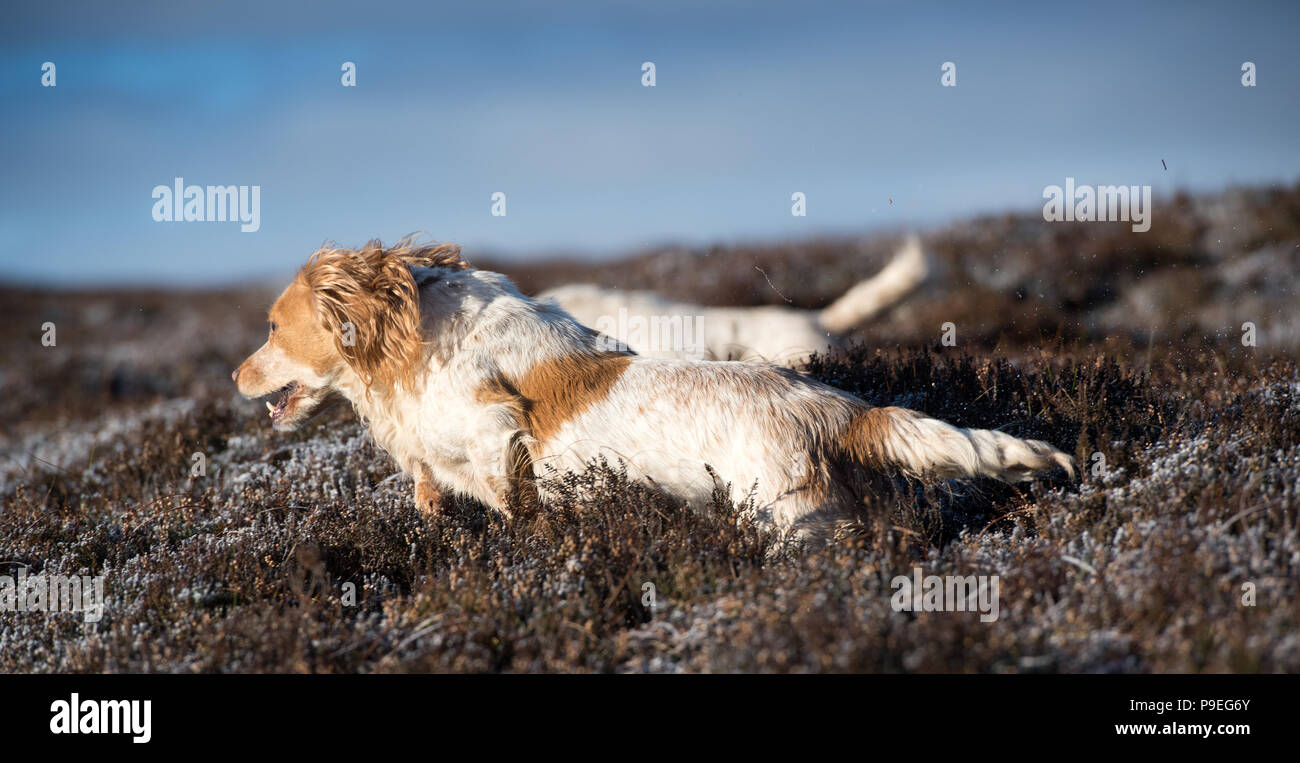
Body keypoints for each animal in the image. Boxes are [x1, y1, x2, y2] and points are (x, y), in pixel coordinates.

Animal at [236, 241, 1076, 540]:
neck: (416, 327)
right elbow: (428, 487)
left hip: (789, 522)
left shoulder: (494, 435)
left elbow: (513, 502)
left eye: (272, 327)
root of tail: (836, 410)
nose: (236, 374)